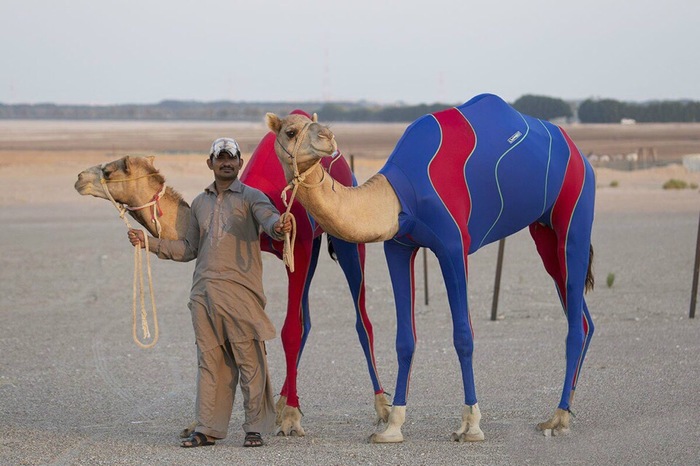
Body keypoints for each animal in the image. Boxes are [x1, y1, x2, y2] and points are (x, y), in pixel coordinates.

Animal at [76, 121, 394, 436]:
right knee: (308, 320)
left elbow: (290, 329)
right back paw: (281, 403)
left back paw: (380, 407)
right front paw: (200, 422)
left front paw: (292, 418)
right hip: (316, 247)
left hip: (347, 237)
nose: (80, 178)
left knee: (361, 319)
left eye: (109, 171)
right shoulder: (294, 247)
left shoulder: (298, 242)